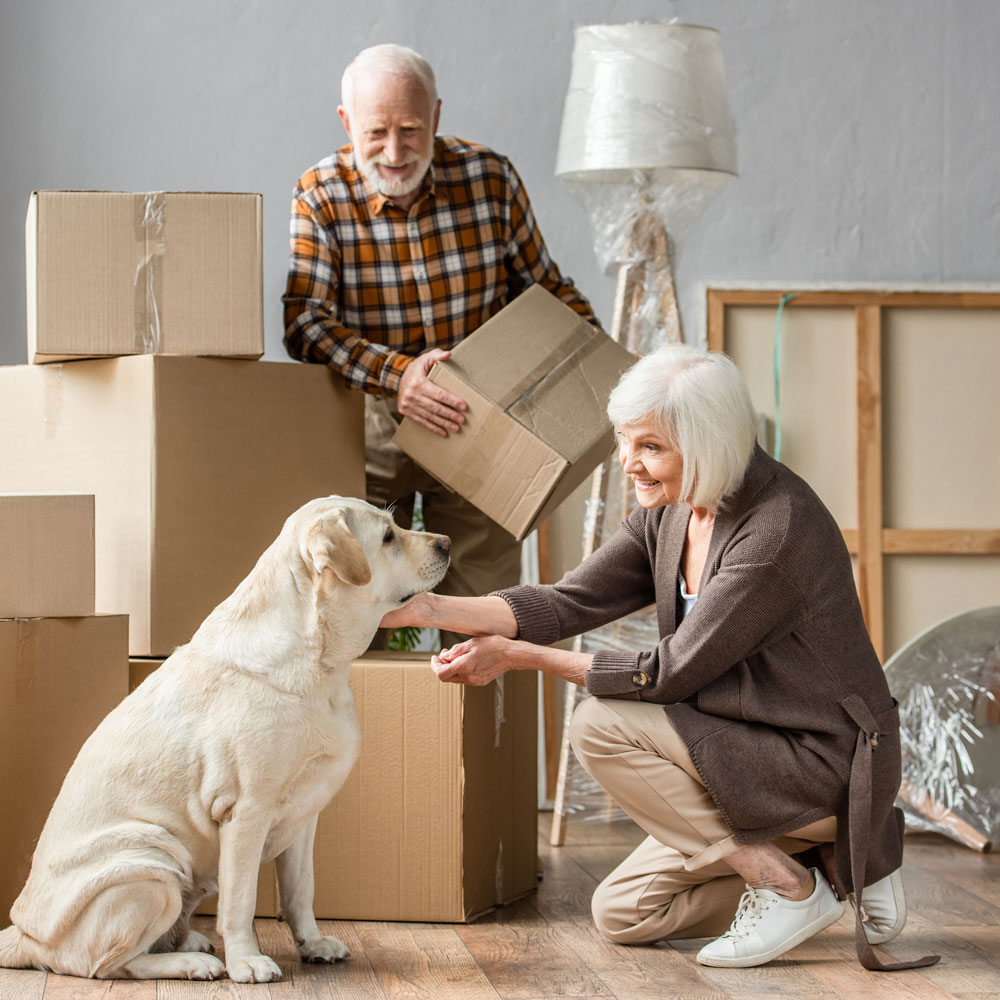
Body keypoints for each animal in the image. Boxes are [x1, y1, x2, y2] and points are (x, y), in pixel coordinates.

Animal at [0, 496, 450, 980]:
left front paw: (312, 944)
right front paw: (247, 961)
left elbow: (301, 891)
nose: (446, 543)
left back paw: (191, 943)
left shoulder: (305, 815)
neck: (321, 663)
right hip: (153, 864)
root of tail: (23, 936)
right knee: (110, 965)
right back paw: (194, 962)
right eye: (387, 537)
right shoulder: (245, 811)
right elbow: (240, 901)